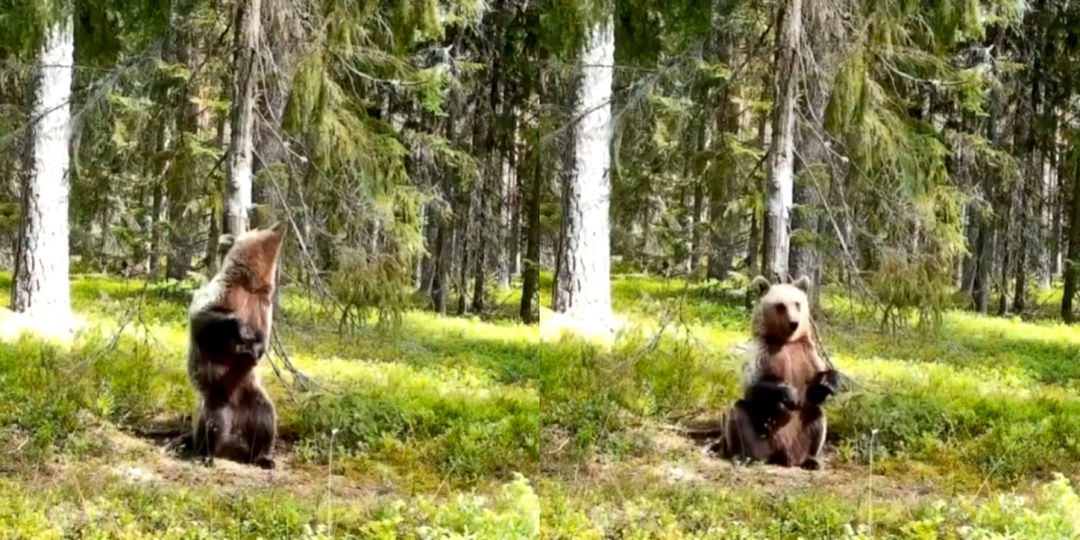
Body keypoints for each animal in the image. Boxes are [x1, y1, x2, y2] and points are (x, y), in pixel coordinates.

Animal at [178, 222, 287, 470]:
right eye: (260, 227)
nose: (282, 224)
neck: (249, 285)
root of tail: (237, 420)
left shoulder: (262, 308)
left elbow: (263, 339)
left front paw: (254, 349)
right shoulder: (222, 294)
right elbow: (204, 318)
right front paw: (238, 330)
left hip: (255, 398)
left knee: (267, 422)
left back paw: (265, 457)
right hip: (215, 400)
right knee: (210, 424)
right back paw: (205, 454)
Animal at [713, 274, 839, 470]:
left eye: (797, 303)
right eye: (780, 305)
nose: (794, 323)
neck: (786, 341)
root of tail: (783, 455)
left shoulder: (807, 356)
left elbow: (815, 391)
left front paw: (828, 382)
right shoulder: (763, 353)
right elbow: (754, 385)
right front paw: (789, 395)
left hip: (803, 430)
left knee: (817, 418)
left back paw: (811, 460)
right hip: (761, 436)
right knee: (739, 414)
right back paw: (745, 457)